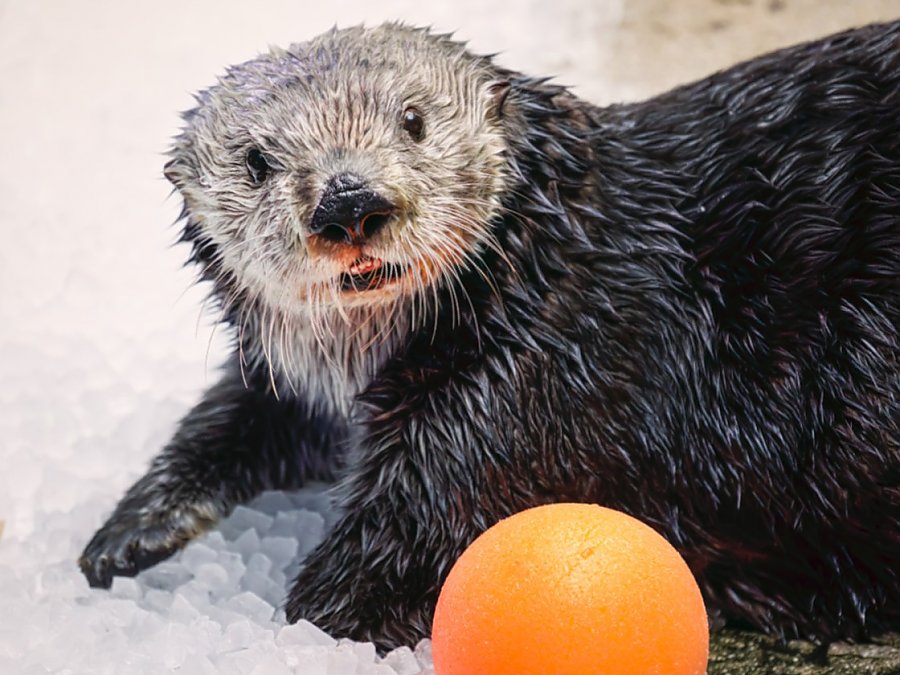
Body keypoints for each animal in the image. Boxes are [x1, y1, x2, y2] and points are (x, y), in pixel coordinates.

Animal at [79, 21, 900, 648]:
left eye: (413, 120)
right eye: (256, 161)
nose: (349, 202)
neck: (556, 264)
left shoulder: (517, 399)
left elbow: (377, 576)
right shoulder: (299, 378)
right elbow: (243, 412)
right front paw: (128, 534)